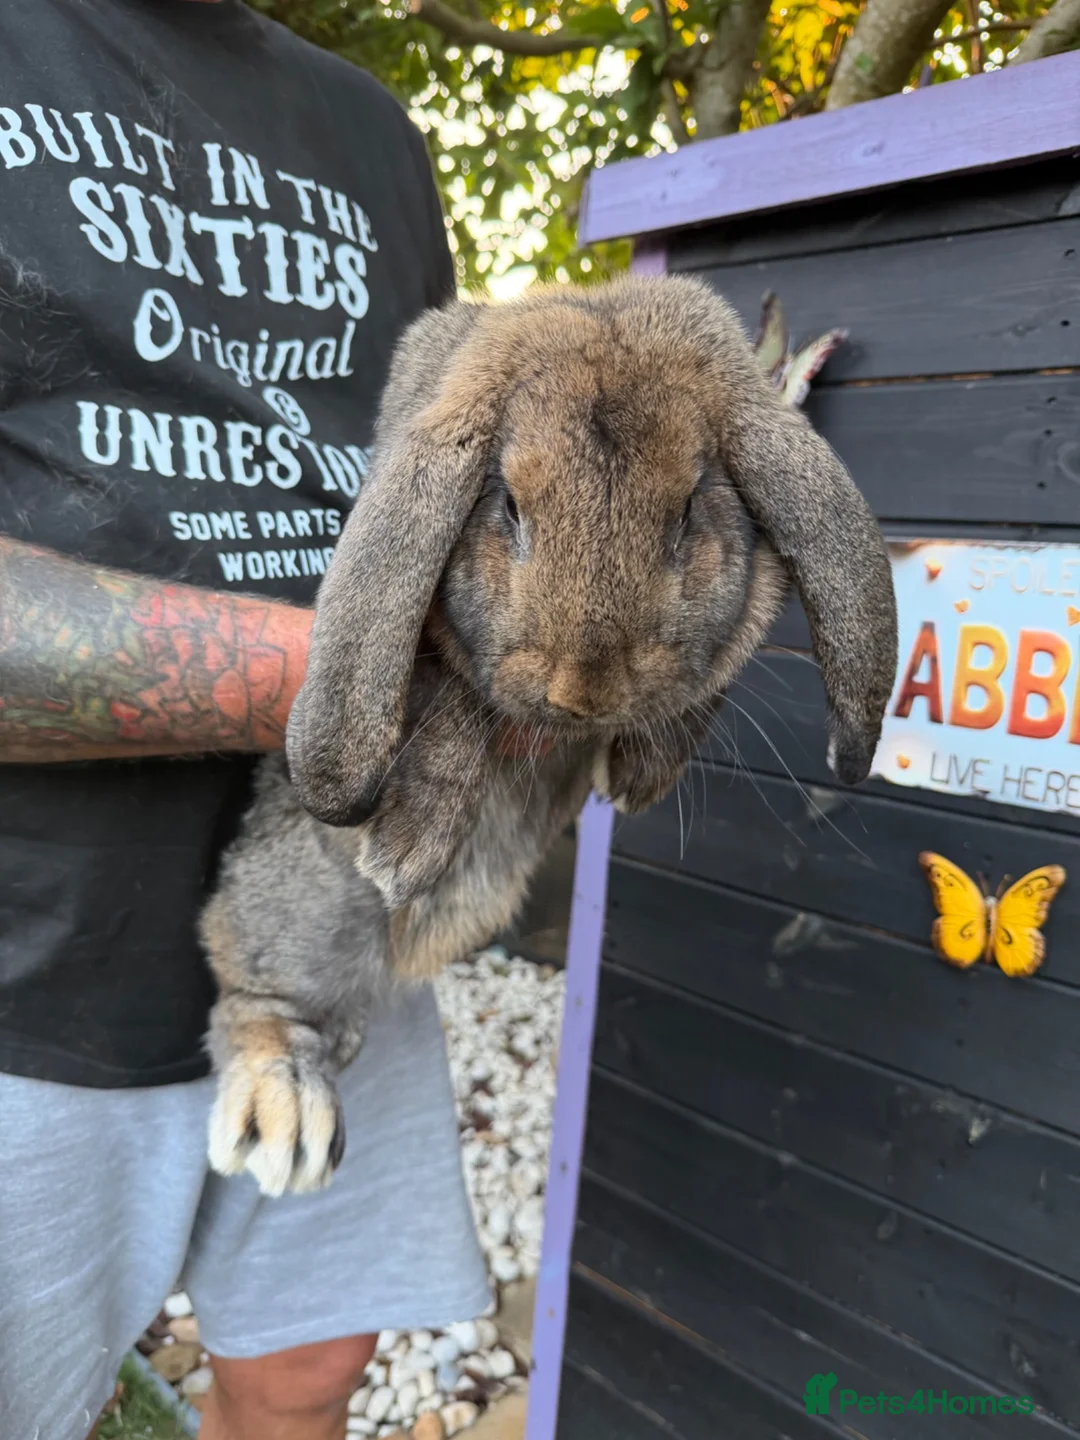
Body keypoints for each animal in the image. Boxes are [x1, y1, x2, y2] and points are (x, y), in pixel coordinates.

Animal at [200, 273, 898, 1198]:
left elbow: (703, 686)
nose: (586, 690)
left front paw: (639, 773)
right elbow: (457, 696)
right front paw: (409, 848)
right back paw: (284, 1118)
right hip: (303, 911)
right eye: (507, 506)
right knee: (256, 997)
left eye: (689, 507)